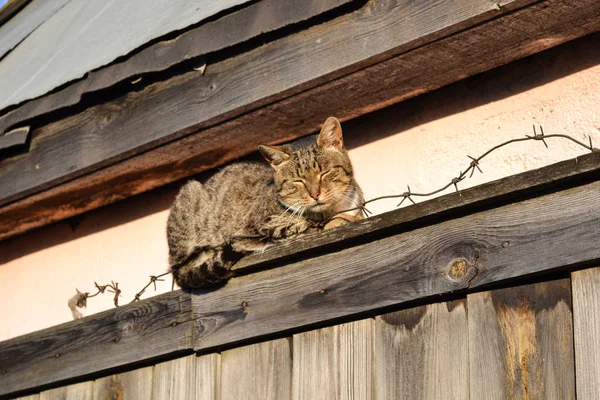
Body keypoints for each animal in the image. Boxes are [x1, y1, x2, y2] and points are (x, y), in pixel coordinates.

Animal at [169, 117, 366, 290]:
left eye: (324, 173)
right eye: (298, 181)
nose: (315, 194)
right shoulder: (262, 226)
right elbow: (298, 228)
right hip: (191, 195)